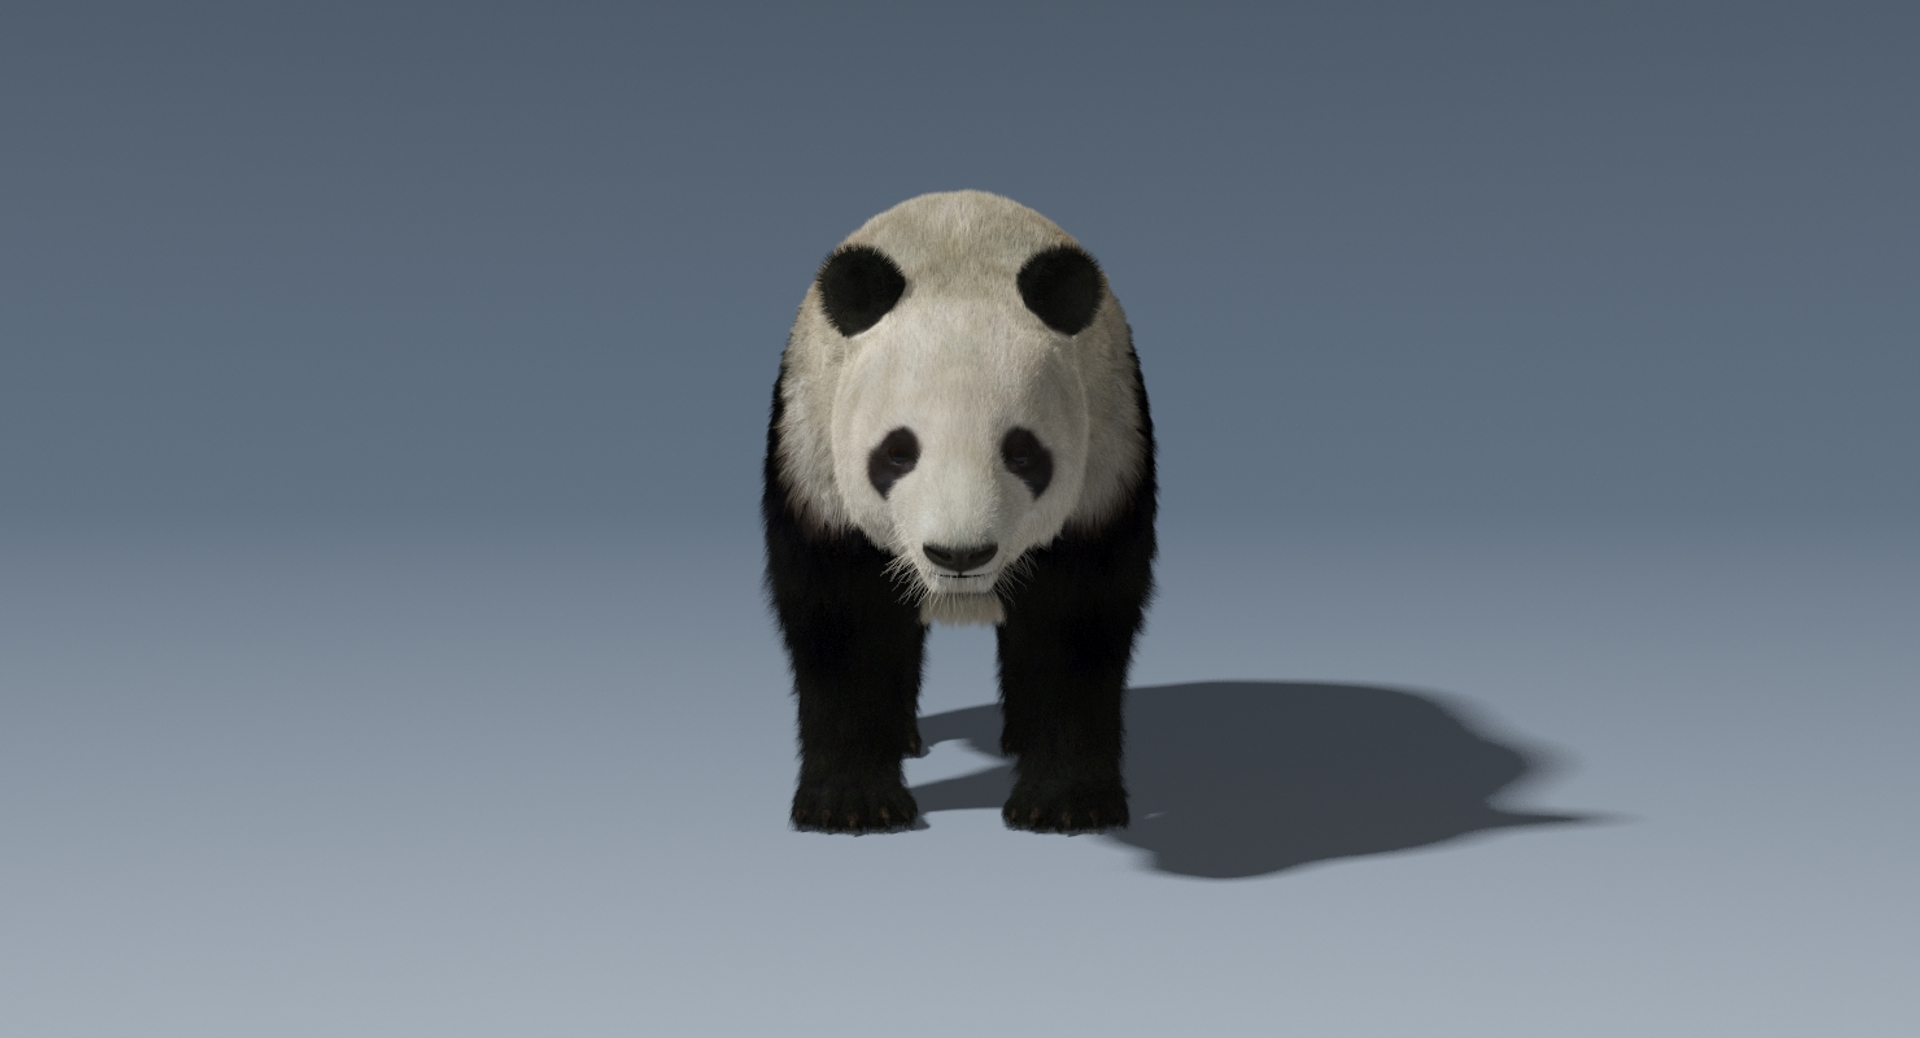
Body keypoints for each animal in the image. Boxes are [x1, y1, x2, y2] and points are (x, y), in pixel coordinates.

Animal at [763, 190, 1155, 835]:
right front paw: (852, 803)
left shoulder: (1105, 465)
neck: (962, 247)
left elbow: (1076, 629)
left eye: (1022, 452)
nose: (959, 555)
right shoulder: (816, 467)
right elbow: (843, 628)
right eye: (898, 452)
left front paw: (1065, 802)